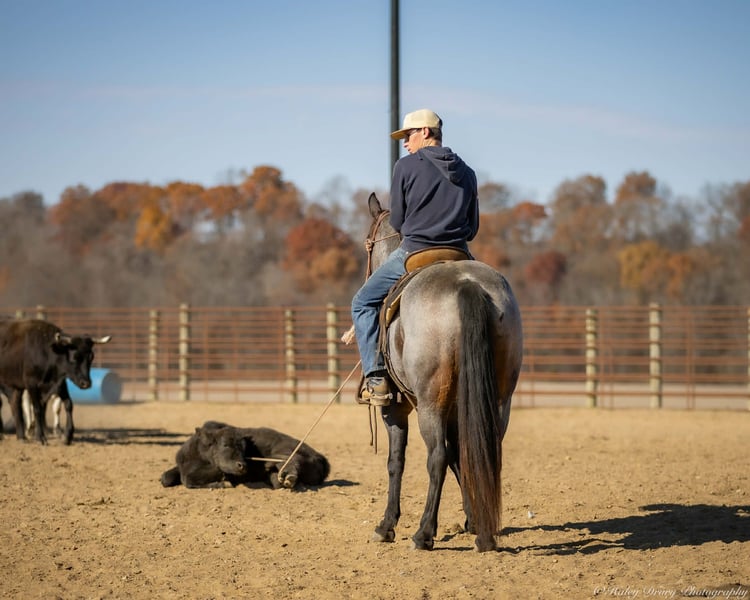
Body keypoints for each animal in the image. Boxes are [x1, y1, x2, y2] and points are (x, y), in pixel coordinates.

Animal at [160, 421, 330, 490]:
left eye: (244, 448)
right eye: (225, 444)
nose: (242, 465)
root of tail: (320, 457)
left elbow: (188, 478)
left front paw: (223, 483)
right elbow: (166, 478)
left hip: (286, 450)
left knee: (290, 459)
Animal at [361, 192, 523, 552]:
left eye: (367, 241)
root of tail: (467, 285)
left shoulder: (397, 409)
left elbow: (397, 462)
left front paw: (386, 525)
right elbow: (461, 456)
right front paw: (472, 518)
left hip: (430, 404)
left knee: (436, 456)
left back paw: (423, 533)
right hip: (498, 400)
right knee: (484, 450)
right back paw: (485, 533)